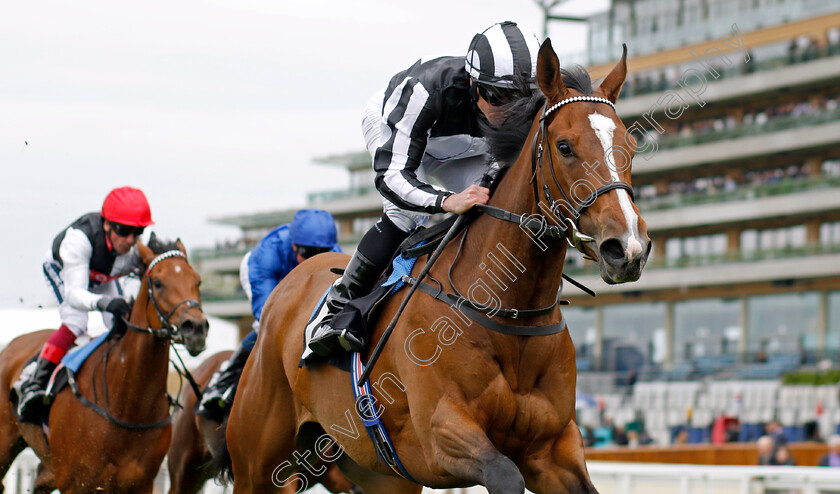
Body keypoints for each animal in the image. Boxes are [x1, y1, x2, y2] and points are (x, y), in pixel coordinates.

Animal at [0, 236, 208, 494]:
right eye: (158, 283)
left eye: (197, 280)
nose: (196, 328)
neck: (127, 406)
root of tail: (14, 344)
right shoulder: (75, 483)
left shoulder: (141, 484)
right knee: (73, 321)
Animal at [223, 38, 648, 494]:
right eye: (565, 146)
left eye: (630, 146)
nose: (627, 247)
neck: (509, 309)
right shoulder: (440, 436)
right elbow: (503, 473)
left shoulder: (552, 448)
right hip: (256, 463)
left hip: (379, 473)